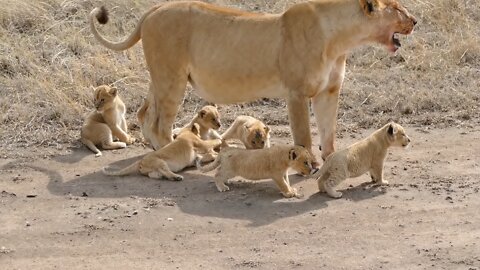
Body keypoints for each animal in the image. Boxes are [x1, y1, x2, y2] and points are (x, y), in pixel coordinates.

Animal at [89, 0, 416, 160]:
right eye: (399, 8)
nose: (415, 20)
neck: (341, 39)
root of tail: (154, 9)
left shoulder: (329, 91)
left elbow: (328, 133)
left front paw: (331, 161)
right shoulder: (296, 93)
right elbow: (305, 135)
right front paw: (308, 164)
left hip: (160, 76)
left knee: (145, 113)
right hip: (172, 78)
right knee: (160, 123)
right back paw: (180, 154)